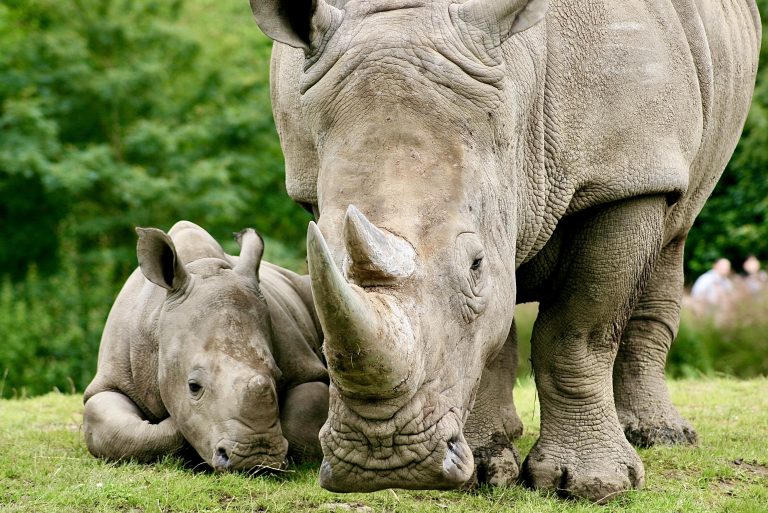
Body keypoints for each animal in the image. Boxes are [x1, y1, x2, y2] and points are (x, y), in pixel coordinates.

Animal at [83, 221, 328, 471]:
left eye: (279, 379)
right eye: (193, 386)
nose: (255, 459)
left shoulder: (308, 372)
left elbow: (300, 419)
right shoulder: (110, 381)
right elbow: (118, 433)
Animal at [252, 0, 760, 502]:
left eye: (475, 265)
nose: (383, 458)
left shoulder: (626, 174)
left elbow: (579, 333)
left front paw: (594, 486)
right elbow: (490, 337)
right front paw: (484, 470)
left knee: (674, 233)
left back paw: (663, 437)